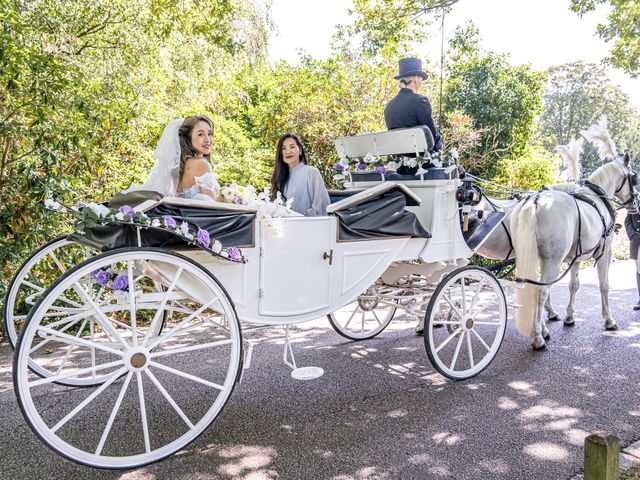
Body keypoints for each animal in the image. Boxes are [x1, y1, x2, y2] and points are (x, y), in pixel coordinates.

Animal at [512, 156, 636, 350]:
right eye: (634, 177)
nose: (635, 201)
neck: (597, 198)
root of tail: (536, 200)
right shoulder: (605, 253)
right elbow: (604, 285)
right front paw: (608, 319)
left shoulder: (576, 258)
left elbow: (574, 285)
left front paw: (569, 316)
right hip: (553, 262)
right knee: (541, 291)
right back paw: (538, 336)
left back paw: (543, 329)